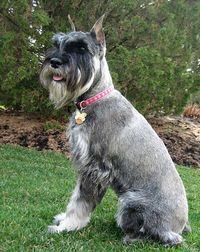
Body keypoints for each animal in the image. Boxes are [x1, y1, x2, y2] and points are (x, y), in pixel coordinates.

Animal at [39, 14, 191, 245]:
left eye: (82, 48)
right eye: (57, 44)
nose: (54, 62)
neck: (94, 98)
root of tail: (179, 226)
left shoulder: (95, 168)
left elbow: (81, 202)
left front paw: (67, 226)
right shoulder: (86, 166)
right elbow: (76, 197)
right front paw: (63, 219)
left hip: (131, 200)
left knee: (156, 234)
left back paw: (131, 236)